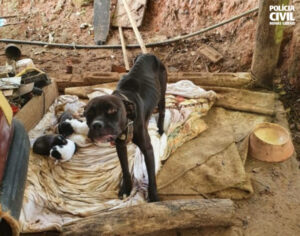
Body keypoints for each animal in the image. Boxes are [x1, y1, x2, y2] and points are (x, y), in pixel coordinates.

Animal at [84, 54, 168, 203]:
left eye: (112, 111)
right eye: (89, 114)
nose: (97, 125)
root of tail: (148, 54)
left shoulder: (148, 149)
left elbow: (151, 176)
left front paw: (153, 196)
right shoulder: (120, 146)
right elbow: (125, 169)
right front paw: (126, 188)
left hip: (162, 91)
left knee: (162, 110)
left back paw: (161, 129)